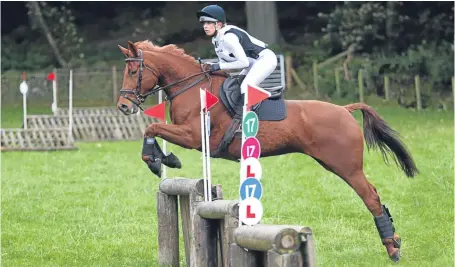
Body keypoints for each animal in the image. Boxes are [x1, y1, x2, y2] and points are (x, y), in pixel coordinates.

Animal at [116, 40, 416, 262]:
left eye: (132, 72)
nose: (123, 106)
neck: (191, 87)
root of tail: (344, 109)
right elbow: (154, 130)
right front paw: (163, 158)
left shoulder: (193, 136)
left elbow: (152, 129)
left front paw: (159, 160)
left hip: (346, 166)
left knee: (371, 197)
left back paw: (392, 247)